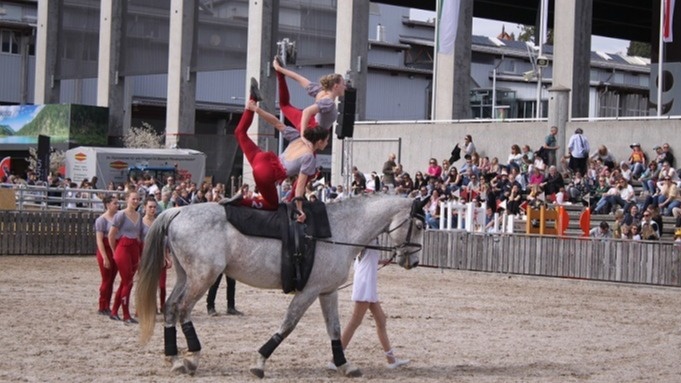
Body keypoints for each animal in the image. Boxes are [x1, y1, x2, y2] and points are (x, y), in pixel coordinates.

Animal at [135, 196, 422, 380]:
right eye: (419, 225)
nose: (414, 261)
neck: (337, 231)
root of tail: (177, 211)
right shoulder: (308, 292)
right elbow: (288, 325)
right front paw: (260, 361)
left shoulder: (326, 292)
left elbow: (335, 329)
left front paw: (345, 365)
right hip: (203, 278)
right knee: (183, 309)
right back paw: (192, 356)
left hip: (186, 276)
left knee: (170, 307)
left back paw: (173, 358)